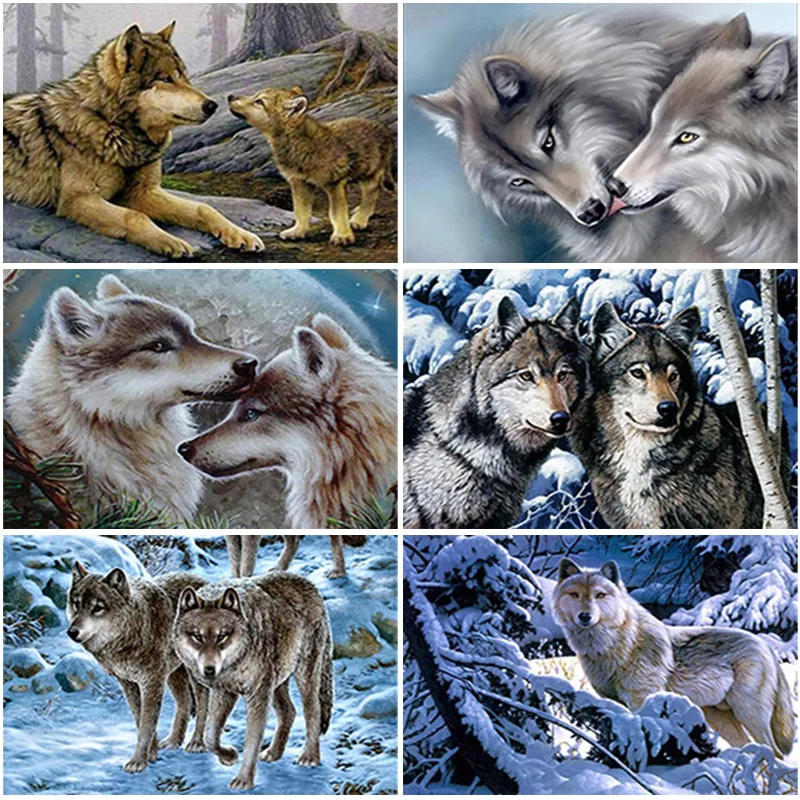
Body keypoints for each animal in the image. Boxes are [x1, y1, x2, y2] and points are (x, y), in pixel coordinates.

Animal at [3, 22, 264, 257]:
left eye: (185, 77)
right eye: (165, 79)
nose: (212, 105)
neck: (115, 129)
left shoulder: (143, 192)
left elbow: (204, 208)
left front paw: (240, 234)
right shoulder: (78, 199)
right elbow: (135, 216)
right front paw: (170, 241)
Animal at [67, 561, 209, 772]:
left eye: (98, 608)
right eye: (76, 604)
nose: (72, 632)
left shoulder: (152, 682)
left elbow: (146, 726)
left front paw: (138, 761)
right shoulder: (129, 683)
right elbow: (139, 719)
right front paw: (152, 755)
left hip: (193, 674)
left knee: (203, 703)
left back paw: (196, 743)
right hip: (174, 674)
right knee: (185, 702)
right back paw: (173, 742)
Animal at [173, 574, 334, 790]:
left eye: (222, 636)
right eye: (197, 636)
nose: (209, 670)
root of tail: (310, 585)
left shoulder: (257, 696)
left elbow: (252, 740)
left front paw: (244, 780)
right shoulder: (225, 692)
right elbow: (210, 736)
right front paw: (229, 756)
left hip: (303, 676)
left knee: (313, 711)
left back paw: (309, 757)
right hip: (276, 683)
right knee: (289, 711)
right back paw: (273, 753)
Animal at [228, 87, 394, 245]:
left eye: (259, 101)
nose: (230, 96)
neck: (297, 143)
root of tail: (383, 128)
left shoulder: (334, 184)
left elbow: (337, 213)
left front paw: (342, 236)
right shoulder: (298, 182)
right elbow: (301, 211)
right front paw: (297, 232)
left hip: (370, 176)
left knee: (371, 196)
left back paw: (359, 220)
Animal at [553, 559, 796, 758]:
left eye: (600, 595)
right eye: (575, 594)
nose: (585, 616)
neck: (615, 646)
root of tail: (765, 645)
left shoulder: (642, 700)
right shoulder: (613, 702)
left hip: (748, 713)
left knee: (774, 752)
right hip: (720, 718)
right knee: (748, 747)